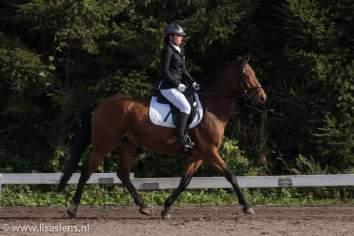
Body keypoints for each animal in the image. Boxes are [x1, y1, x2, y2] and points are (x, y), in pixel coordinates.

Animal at [56, 54, 266, 219]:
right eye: (246, 74)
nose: (262, 98)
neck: (211, 108)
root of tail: (101, 104)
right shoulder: (209, 152)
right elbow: (231, 175)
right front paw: (248, 207)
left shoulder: (198, 155)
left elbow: (184, 182)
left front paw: (166, 208)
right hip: (103, 144)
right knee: (87, 171)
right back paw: (73, 209)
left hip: (127, 145)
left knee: (123, 174)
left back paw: (144, 207)